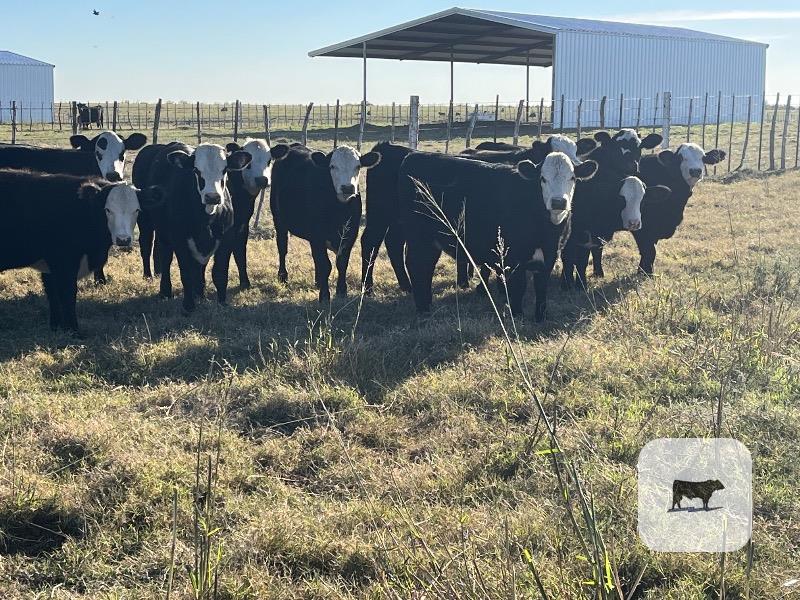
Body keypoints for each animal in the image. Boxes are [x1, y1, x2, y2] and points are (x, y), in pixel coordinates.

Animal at [0, 170, 159, 333]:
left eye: (137, 210)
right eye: (107, 210)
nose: (123, 239)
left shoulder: (50, 265)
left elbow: (53, 294)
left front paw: (56, 326)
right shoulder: (64, 261)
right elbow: (68, 293)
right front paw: (73, 329)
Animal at [134, 143, 252, 313]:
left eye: (224, 170)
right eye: (196, 170)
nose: (212, 197)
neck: (207, 218)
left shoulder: (227, 237)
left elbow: (219, 272)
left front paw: (222, 303)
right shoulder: (180, 239)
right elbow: (186, 273)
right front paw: (188, 306)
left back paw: (199, 293)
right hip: (147, 222)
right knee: (156, 251)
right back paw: (161, 288)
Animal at [269, 143, 381, 303]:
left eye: (358, 166)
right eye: (332, 166)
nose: (347, 187)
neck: (339, 211)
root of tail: (293, 146)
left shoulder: (350, 234)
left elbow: (341, 263)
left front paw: (341, 291)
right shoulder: (317, 236)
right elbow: (325, 265)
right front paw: (324, 296)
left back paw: (317, 281)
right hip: (279, 220)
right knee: (282, 248)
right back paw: (283, 276)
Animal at [399, 151, 597, 322]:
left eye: (572, 178)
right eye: (543, 178)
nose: (558, 202)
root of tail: (413, 155)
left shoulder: (549, 256)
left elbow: (541, 288)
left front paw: (540, 317)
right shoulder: (514, 258)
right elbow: (518, 288)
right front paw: (517, 316)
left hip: (430, 241)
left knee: (425, 267)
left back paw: (427, 303)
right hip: (419, 238)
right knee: (417, 266)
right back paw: (423, 308)